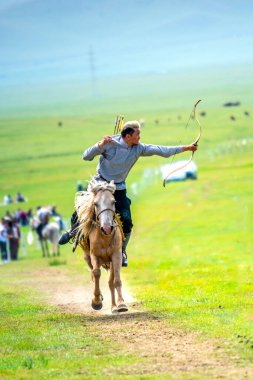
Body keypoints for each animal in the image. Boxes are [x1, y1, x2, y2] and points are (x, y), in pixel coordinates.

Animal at [74, 180, 127, 314]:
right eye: (95, 204)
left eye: (113, 202)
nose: (107, 228)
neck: (104, 237)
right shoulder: (95, 255)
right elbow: (96, 273)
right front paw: (96, 301)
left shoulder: (116, 255)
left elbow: (116, 279)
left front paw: (121, 304)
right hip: (87, 257)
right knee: (93, 274)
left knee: (110, 282)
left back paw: (114, 307)